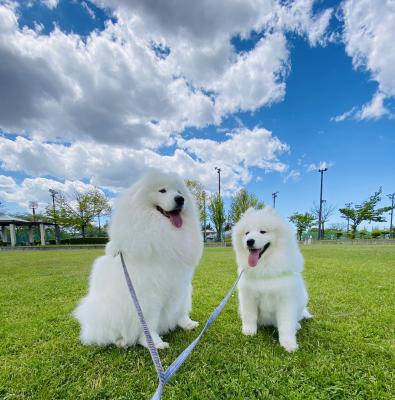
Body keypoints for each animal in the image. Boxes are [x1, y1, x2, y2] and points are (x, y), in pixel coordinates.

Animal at [73, 170, 204, 348]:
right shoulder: (149, 296)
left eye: (179, 192)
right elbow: (149, 323)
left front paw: (187, 323)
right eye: (162, 191)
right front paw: (154, 342)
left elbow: (181, 308)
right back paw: (121, 341)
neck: (165, 232)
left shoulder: (181, 284)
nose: (180, 199)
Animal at [232, 208, 312, 352]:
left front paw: (289, 344)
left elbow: (286, 324)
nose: (249, 241)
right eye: (247, 233)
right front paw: (249, 332)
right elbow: (249, 316)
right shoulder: (248, 297)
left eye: (263, 231)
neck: (265, 268)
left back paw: (297, 326)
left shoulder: (286, 300)